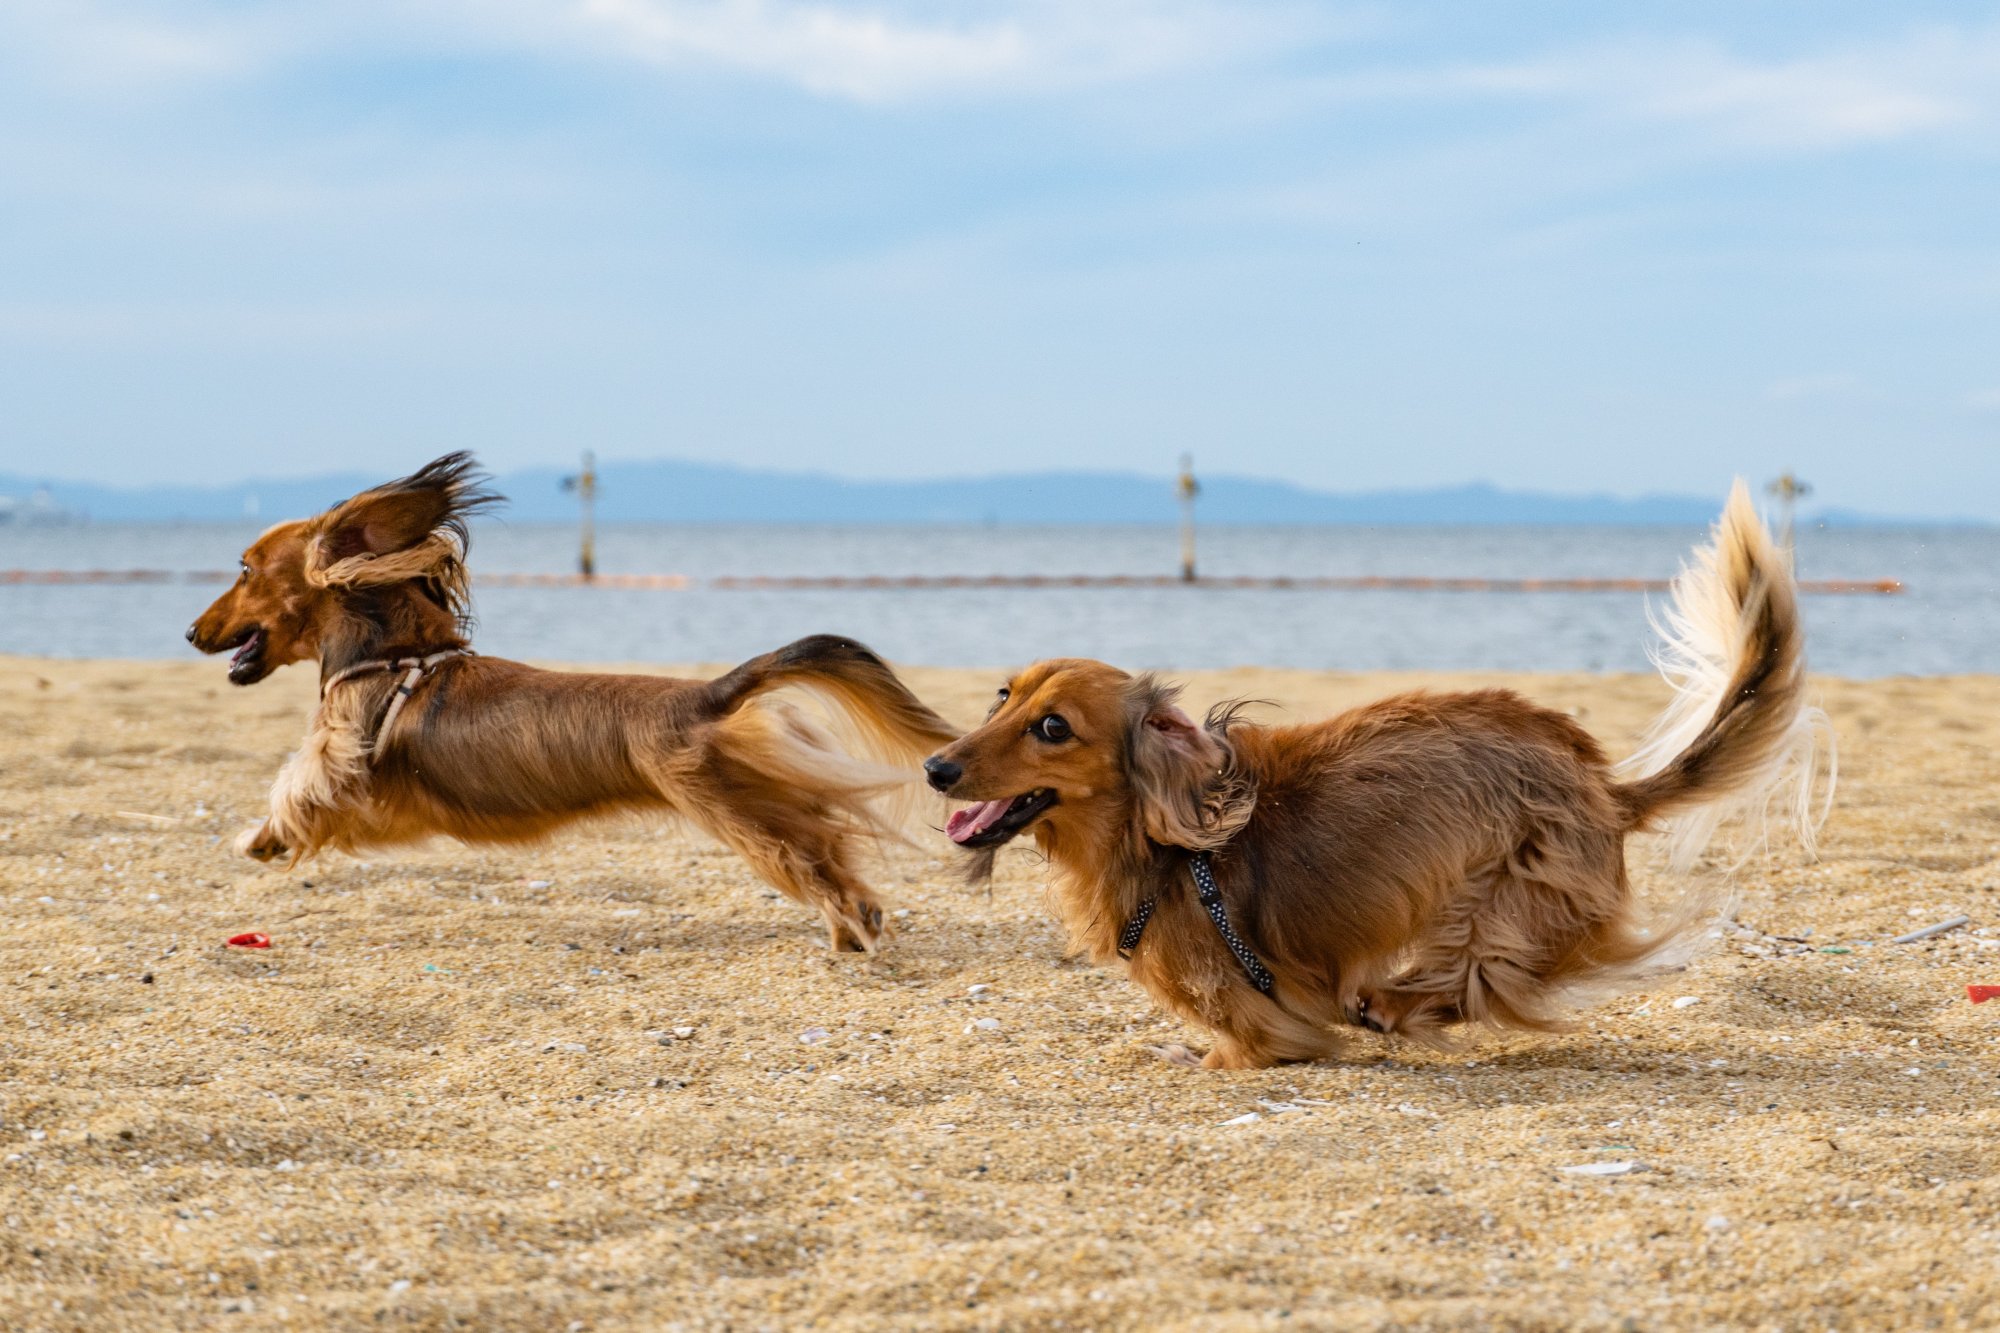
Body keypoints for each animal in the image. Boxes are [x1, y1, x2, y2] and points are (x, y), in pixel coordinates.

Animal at [188, 452, 960, 948]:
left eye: (245, 569)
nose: (192, 632)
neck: (393, 655)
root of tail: (708, 695)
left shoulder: (342, 759)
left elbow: (297, 785)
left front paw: (260, 836)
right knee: (829, 842)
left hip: (738, 807)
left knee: (817, 855)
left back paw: (854, 922)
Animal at [920, 482, 1832, 1064]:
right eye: (1004, 693)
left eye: (1053, 728)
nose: (934, 765)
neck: (1164, 843)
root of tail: (1604, 789)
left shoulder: (1267, 1027)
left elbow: (1250, 1047)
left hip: (1503, 901)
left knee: (1474, 978)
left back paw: (1389, 1006)